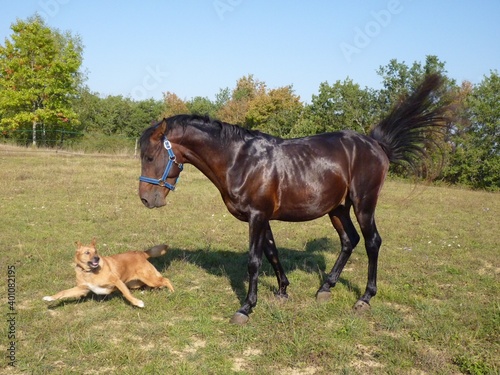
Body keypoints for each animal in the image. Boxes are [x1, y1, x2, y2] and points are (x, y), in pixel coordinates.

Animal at [45, 238, 174, 308]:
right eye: (87, 252)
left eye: (96, 251)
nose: (97, 258)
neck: (89, 272)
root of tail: (141, 253)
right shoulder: (82, 289)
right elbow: (63, 292)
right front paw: (49, 298)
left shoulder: (117, 281)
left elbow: (126, 294)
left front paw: (137, 303)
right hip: (136, 283)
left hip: (149, 278)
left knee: (165, 280)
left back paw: (172, 292)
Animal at [139, 74, 448, 326]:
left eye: (150, 157)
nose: (145, 199)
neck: (240, 160)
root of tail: (376, 145)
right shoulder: (263, 217)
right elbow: (272, 253)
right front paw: (282, 291)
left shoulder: (257, 216)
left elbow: (254, 261)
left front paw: (246, 307)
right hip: (337, 209)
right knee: (349, 240)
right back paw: (325, 288)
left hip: (364, 204)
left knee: (372, 242)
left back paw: (365, 298)